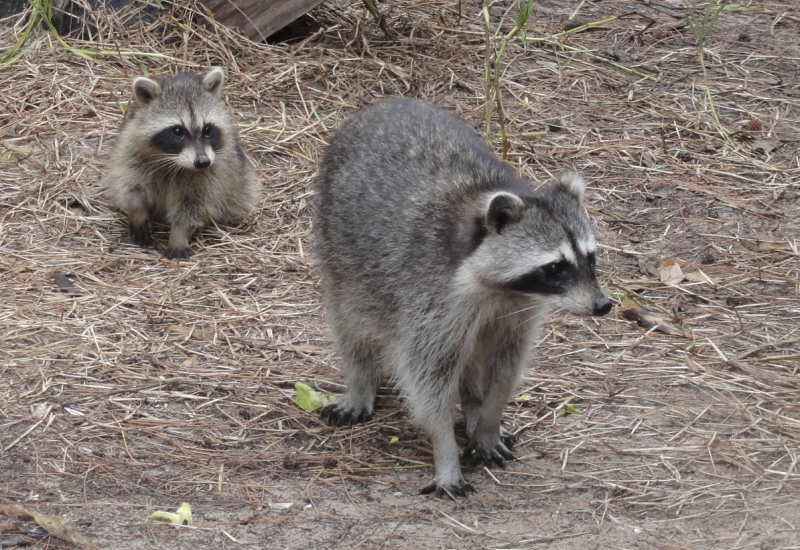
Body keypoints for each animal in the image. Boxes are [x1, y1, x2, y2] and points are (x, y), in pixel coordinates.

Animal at [104, 68, 258, 260]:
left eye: (207, 129)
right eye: (177, 131)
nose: (203, 162)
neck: (174, 161)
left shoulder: (214, 172)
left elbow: (193, 205)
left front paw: (179, 234)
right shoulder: (130, 150)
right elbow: (130, 185)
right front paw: (137, 211)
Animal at [314, 98, 612, 500]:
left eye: (590, 258)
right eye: (555, 267)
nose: (602, 305)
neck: (500, 290)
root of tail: (386, 102)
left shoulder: (517, 310)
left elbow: (505, 367)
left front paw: (488, 420)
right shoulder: (430, 297)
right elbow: (429, 381)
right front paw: (445, 450)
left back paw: (473, 407)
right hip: (338, 246)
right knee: (352, 322)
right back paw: (361, 381)